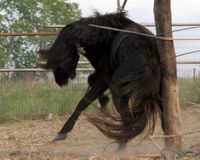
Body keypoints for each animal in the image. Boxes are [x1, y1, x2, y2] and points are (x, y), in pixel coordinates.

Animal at [38, 11, 162, 149]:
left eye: (59, 64)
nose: (60, 82)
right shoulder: (101, 74)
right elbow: (90, 80)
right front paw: (104, 102)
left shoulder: (105, 77)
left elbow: (84, 101)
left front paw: (62, 132)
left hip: (118, 90)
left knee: (129, 121)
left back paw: (120, 147)